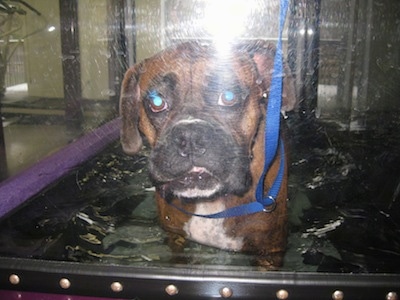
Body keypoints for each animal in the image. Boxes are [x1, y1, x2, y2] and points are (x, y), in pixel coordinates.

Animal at [120, 40, 296, 270]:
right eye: (157, 102)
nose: (190, 136)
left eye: (229, 97)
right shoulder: (175, 238)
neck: (211, 202)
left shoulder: (270, 251)